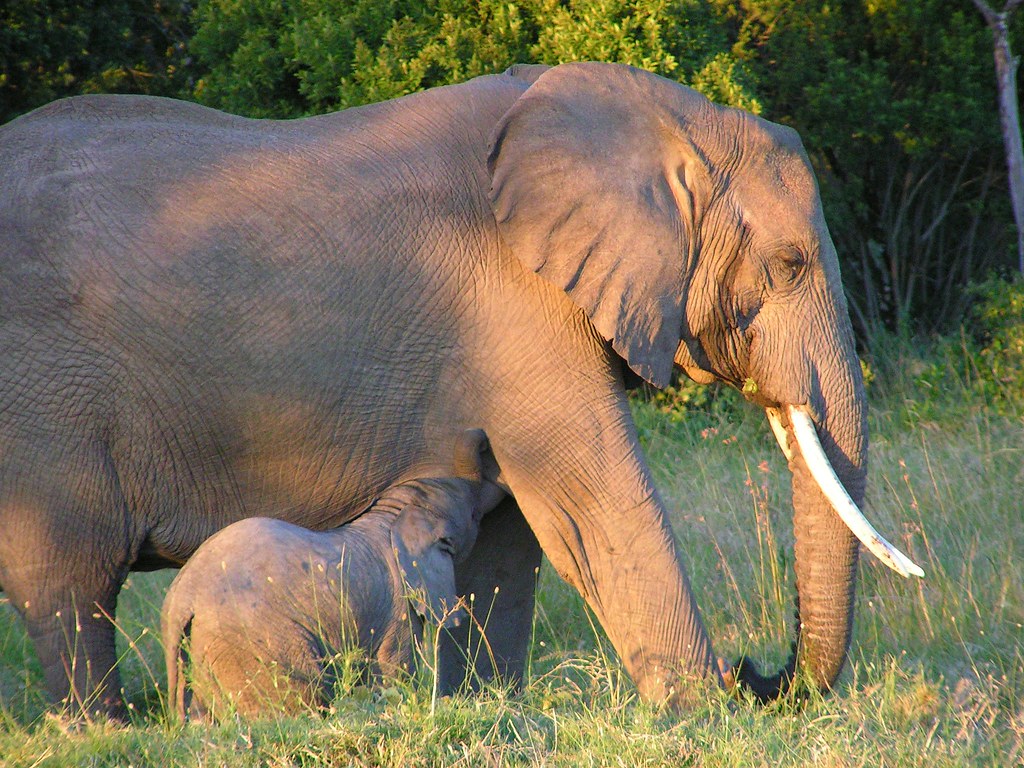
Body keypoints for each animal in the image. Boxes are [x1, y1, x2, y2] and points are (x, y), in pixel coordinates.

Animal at [161, 428, 492, 720]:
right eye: (474, 515)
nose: (479, 435)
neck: (395, 511)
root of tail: (183, 602)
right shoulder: (398, 608)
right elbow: (395, 668)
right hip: (254, 644)